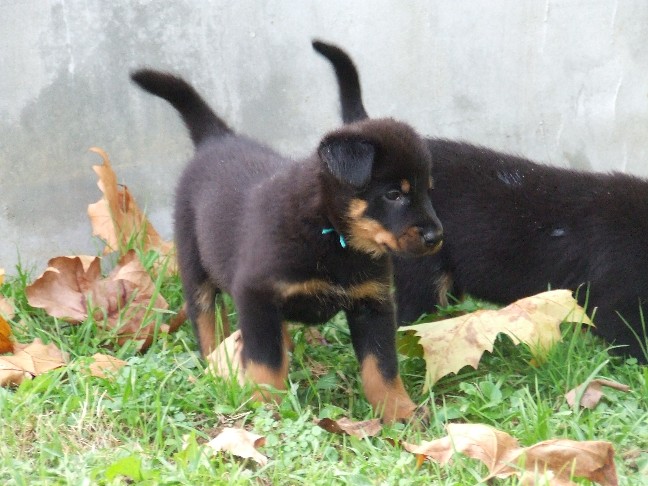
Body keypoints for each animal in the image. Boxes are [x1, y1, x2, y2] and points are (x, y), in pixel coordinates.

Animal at [132, 69, 446, 422]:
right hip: (194, 265)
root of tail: (216, 139)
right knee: (207, 320)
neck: (331, 234)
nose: (436, 237)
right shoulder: (255, 293)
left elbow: (381, 366)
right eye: (394, 194)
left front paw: (399, 411)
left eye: (427, 191)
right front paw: (266, 407)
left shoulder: (373, 303)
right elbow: (266, 362)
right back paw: (215, 365)